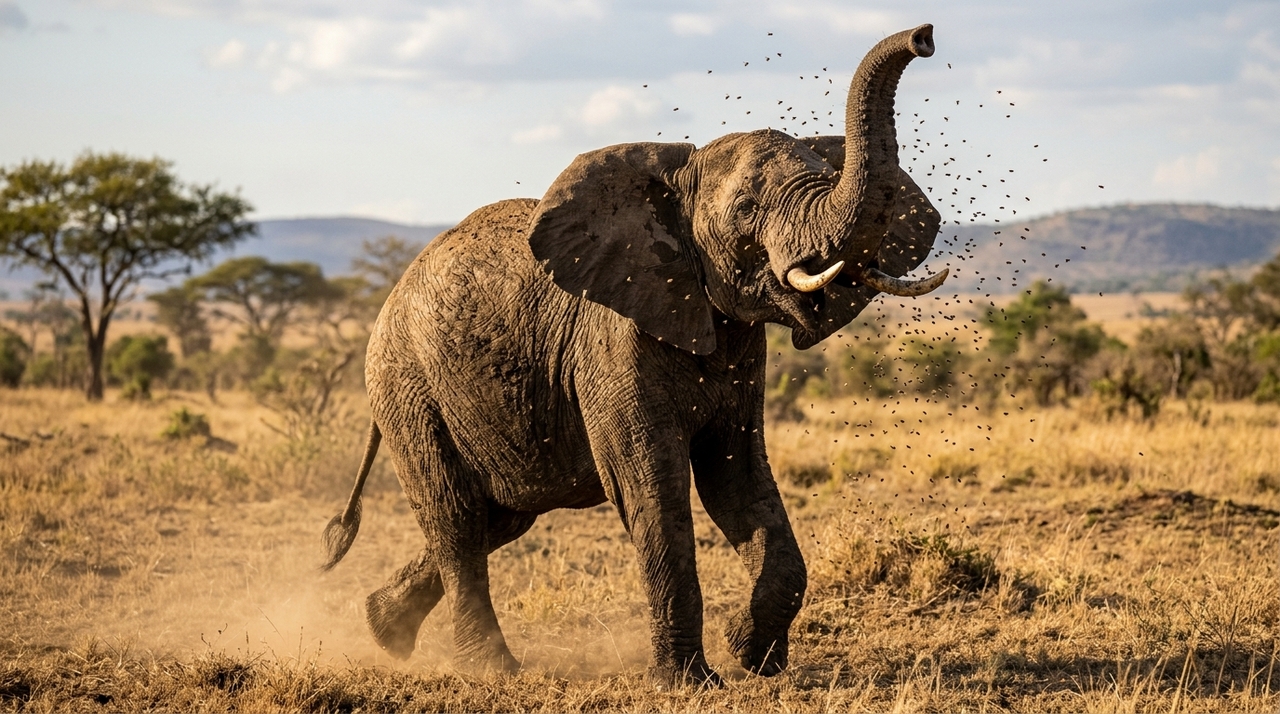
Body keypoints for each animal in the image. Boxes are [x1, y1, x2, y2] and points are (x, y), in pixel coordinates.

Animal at [321, 24, 946, 688]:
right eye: (747, 209)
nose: (925, 36)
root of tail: (388, 300)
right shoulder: (612, 340)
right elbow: (650, 485)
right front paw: (691, 682)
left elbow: (738, 480)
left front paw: (751, 656)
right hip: (408, 387)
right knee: (457, 518)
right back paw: (492, 671)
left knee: (503, 513)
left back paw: (381, 630)